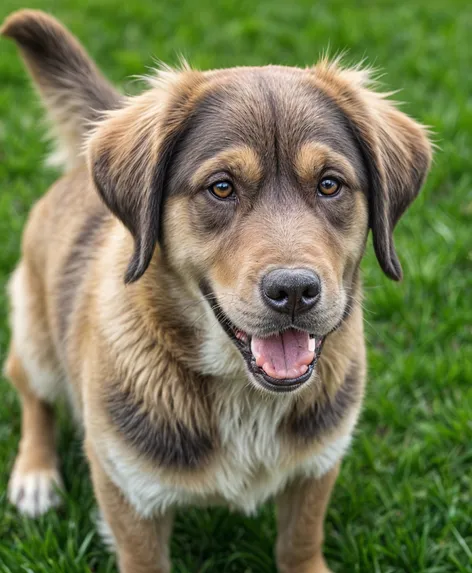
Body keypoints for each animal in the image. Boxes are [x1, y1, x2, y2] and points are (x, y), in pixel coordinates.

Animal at [1, 10, 434, 572]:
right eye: (222, 187)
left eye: (330, 184)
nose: (294, 291)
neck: (245, 397)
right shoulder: (127, 492)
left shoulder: (317, 467)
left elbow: (299, 543)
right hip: (37, 339)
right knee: (28, 387)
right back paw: (34, 474)